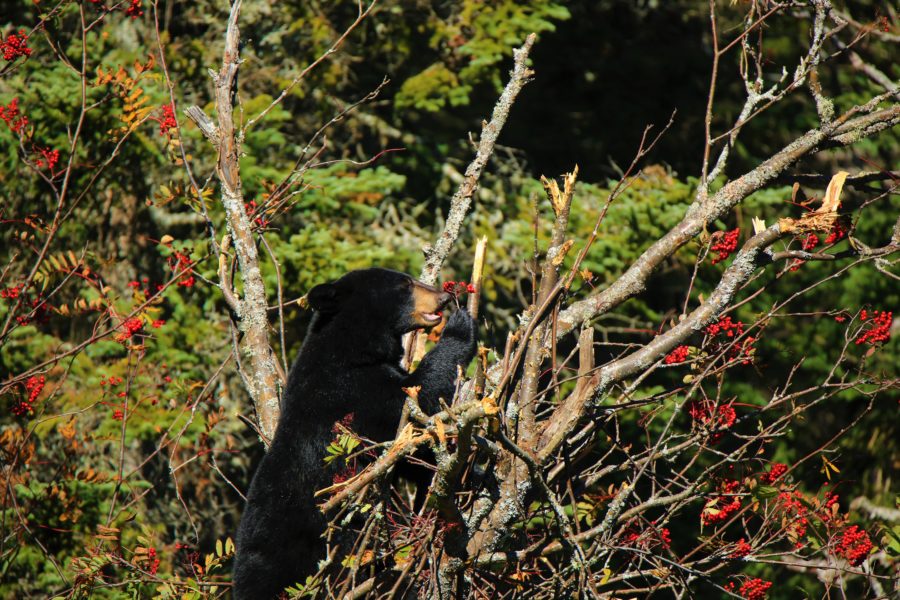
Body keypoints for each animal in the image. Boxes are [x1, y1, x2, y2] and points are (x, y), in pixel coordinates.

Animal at [230, 268, 478, 600]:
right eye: (404, 284)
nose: (442, 297)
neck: (351, 349)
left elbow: (411, 452)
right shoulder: (351, 393)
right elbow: (415, 397)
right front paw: (461, 327)